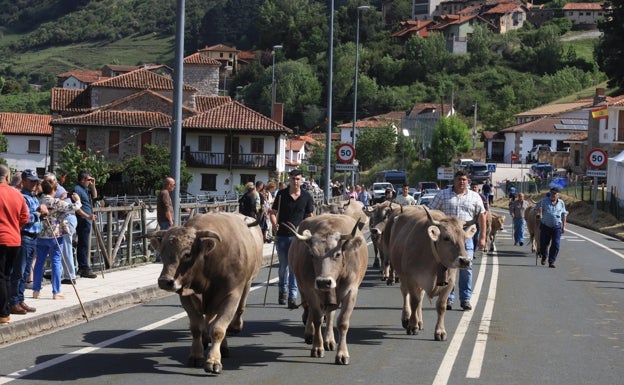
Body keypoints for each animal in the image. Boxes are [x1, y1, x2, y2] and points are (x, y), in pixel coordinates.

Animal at [149, 212, 264, 374]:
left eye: (187, 254)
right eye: (163, 253)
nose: (165, 281)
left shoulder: (231, 295)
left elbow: (218, 329)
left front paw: (213, 360)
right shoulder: (186, 297)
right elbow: (197, 327)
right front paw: (196, 355)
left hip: (246, 284)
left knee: (235, 312)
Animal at [286, 214, 368, 364]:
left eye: (337, 254)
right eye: (312, 254)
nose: (324, 282)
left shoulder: (351, 291)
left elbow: (342, 322)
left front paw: (342, 354)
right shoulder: (310, 290)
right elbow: (317, 318)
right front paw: (317, 348)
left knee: (330, 314)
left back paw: (329, 340)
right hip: (303, 287)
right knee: (309, 310)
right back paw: (310, 334)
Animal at [382, 206, 476, 340]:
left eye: (464, 238)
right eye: (446, 238)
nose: (465, 261)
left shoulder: (449, 283)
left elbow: (441, 305)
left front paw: (440, 331)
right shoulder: (412, 279)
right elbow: (414, 301)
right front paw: (412, 326)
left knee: (420, 297)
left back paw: (420, 321)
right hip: (403, 276)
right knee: (406, 294)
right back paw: (406, 318)